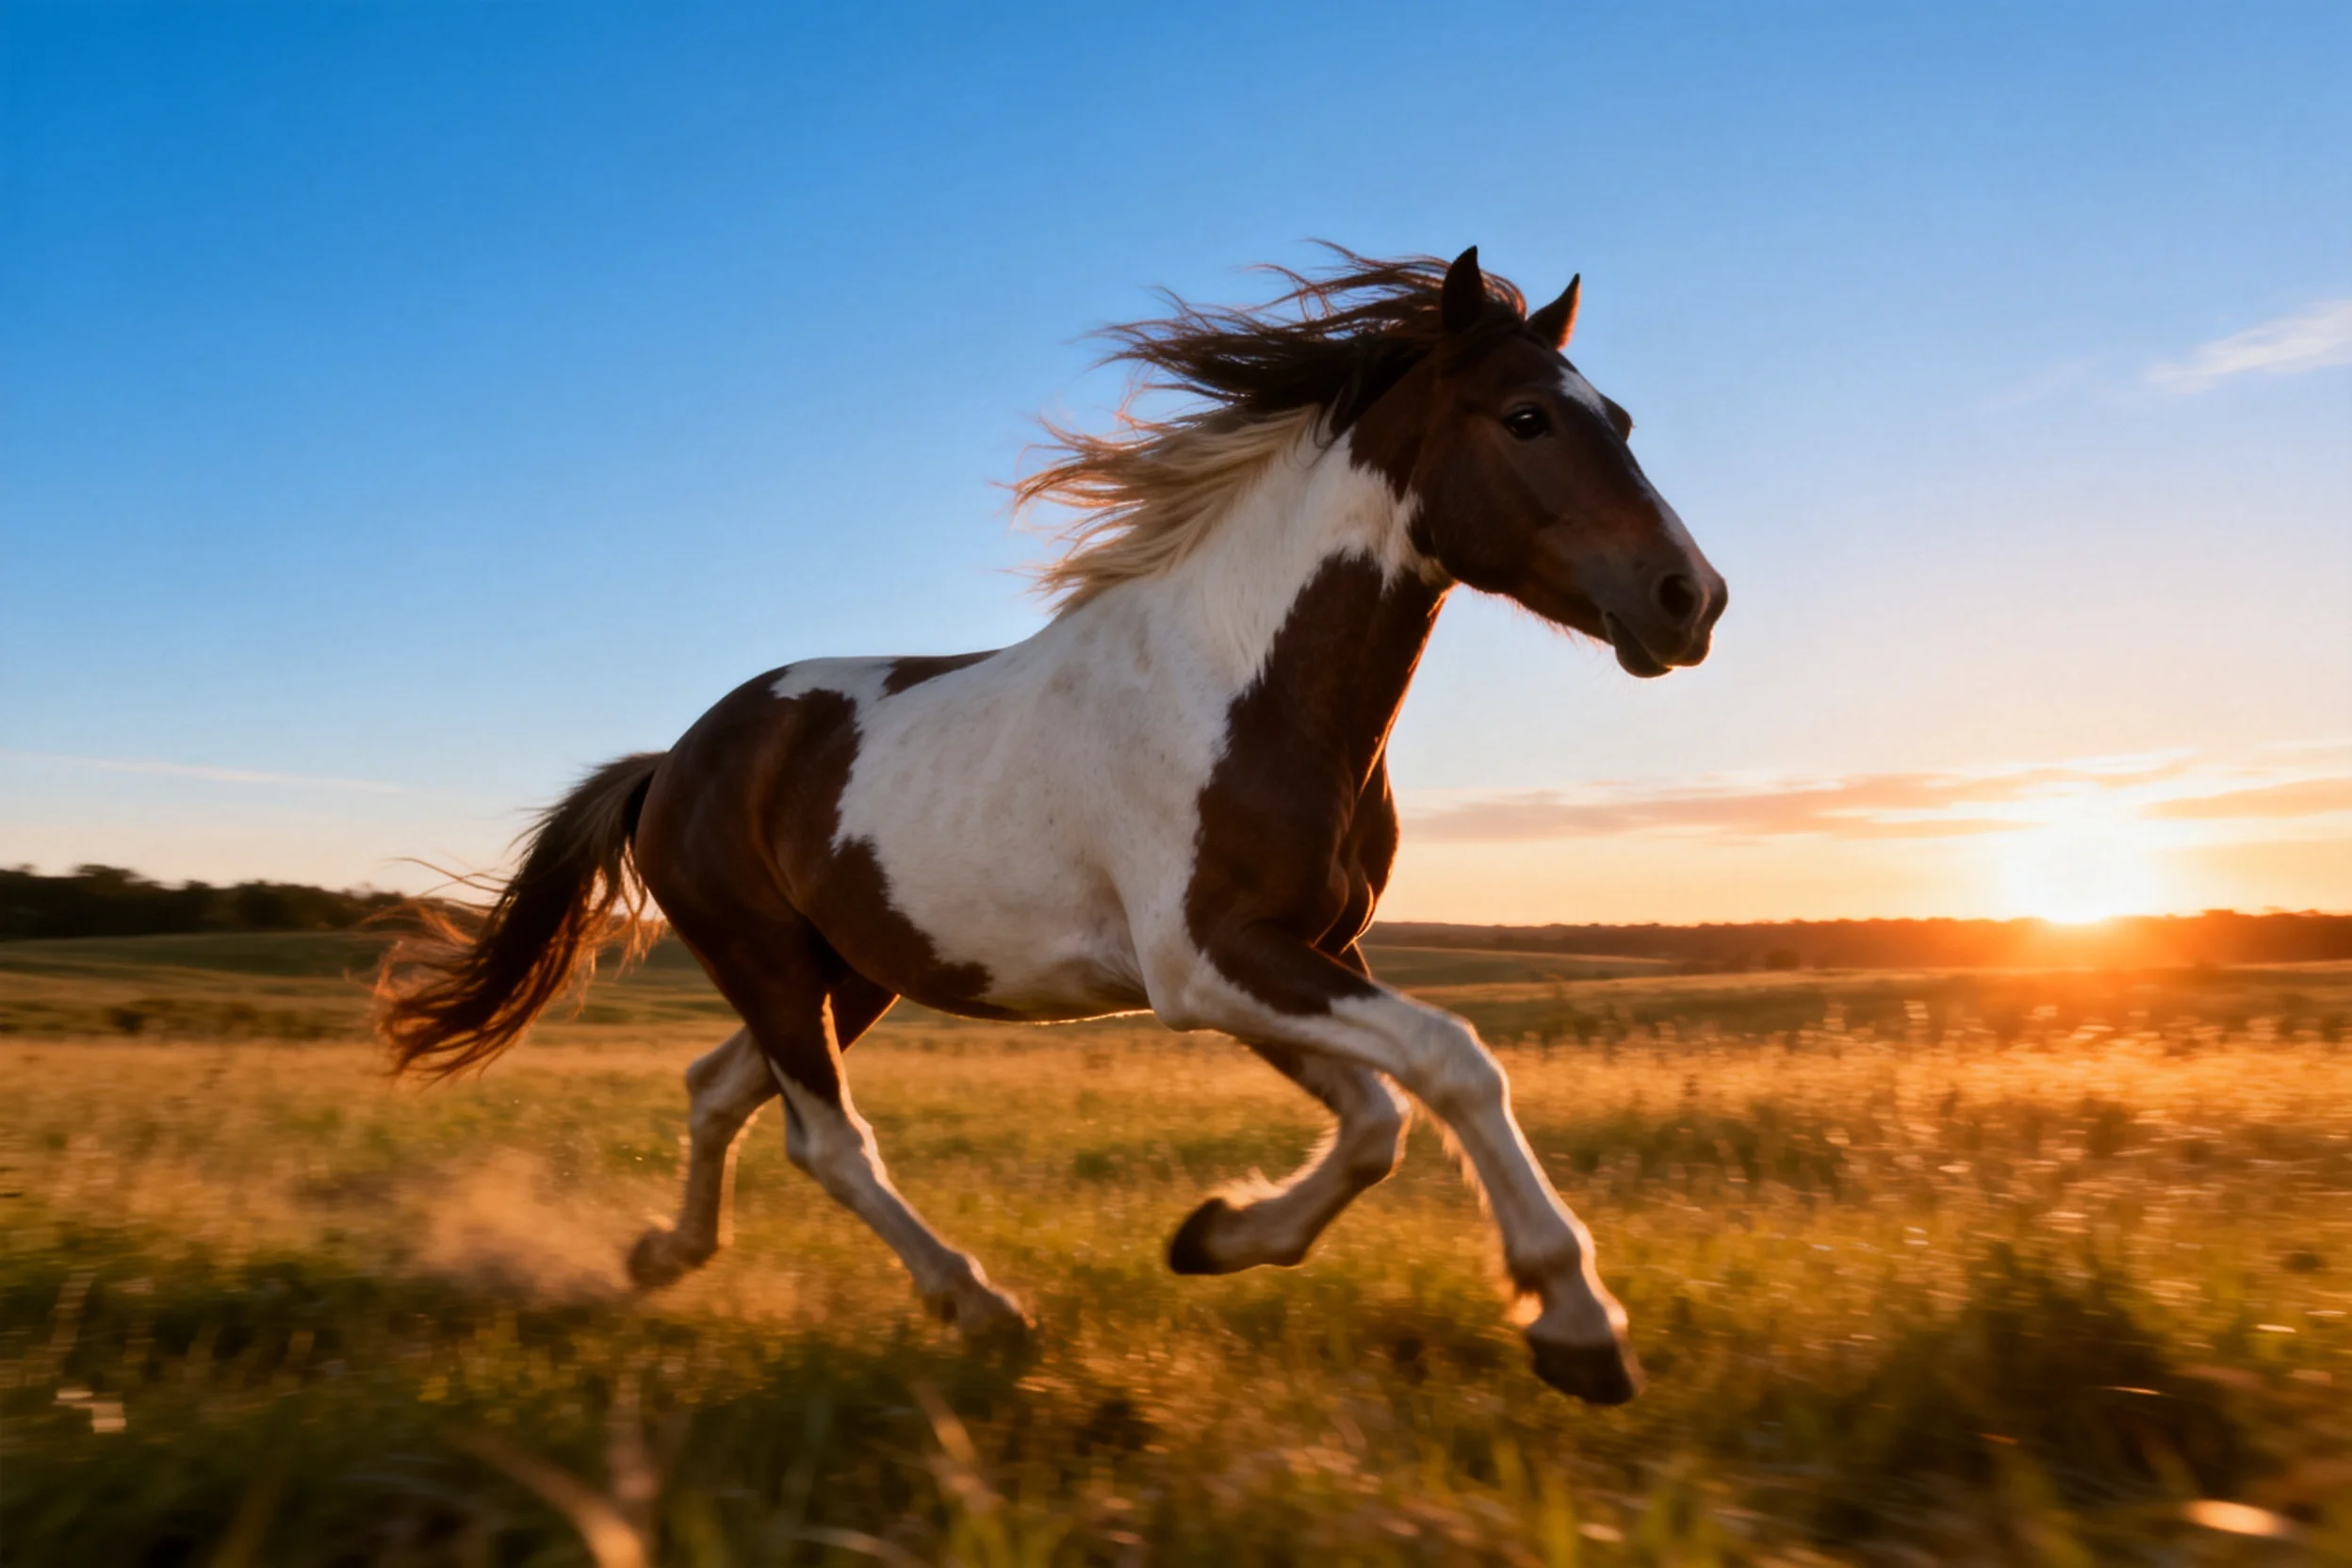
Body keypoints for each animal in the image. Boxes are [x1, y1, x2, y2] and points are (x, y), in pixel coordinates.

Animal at [376, 247, 1725, 1405]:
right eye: (1527, 418)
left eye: (1621, 420)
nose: (1690, 599)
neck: (1240, 682)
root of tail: (673, 761)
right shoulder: (1208, 961)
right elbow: (1451, 1061)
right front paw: (1578, 1326)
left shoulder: (1290, 954)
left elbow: (1377, 1120)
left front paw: (1214, 1234)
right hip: (766, 959)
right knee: (830, 1140)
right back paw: (979, 1305)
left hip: (849, 970)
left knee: (722, 1090)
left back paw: (666, 1255)